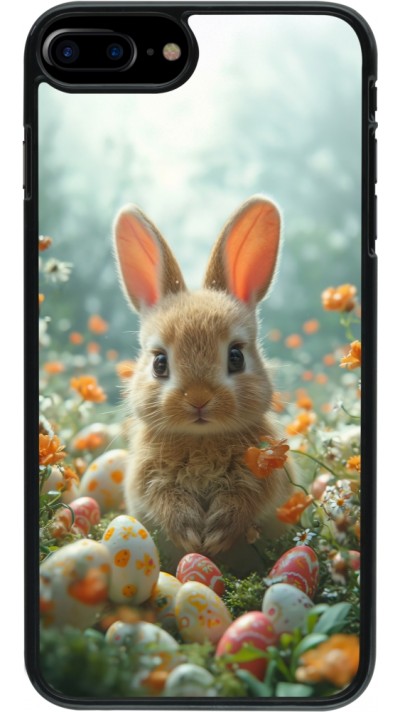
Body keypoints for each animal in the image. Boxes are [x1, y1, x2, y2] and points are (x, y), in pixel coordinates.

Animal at [113, 195, 294, 574]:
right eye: (159, 363)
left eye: (236, 357)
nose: (198, 399)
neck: (201, 438)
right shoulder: (148, 478)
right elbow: (164, 501)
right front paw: (192, 535)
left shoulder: (263, 475)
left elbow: (244, 500)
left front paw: (216, 535)